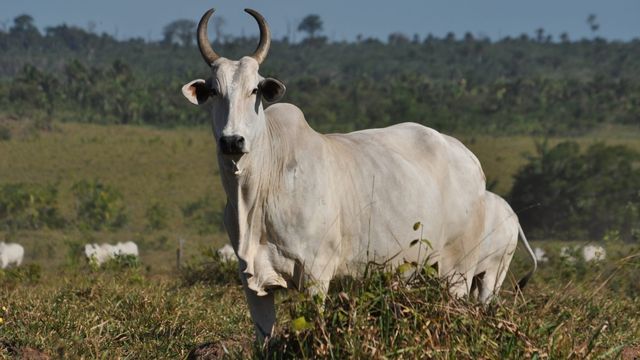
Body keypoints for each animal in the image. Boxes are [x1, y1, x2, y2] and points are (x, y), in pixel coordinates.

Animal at [184, 9, 536, 340]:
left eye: (255, 89)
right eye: (213, 91)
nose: (232, 141)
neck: (259, 190)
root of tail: (473, 164)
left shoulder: (316, 275)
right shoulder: (252, 282)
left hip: (460, 273)